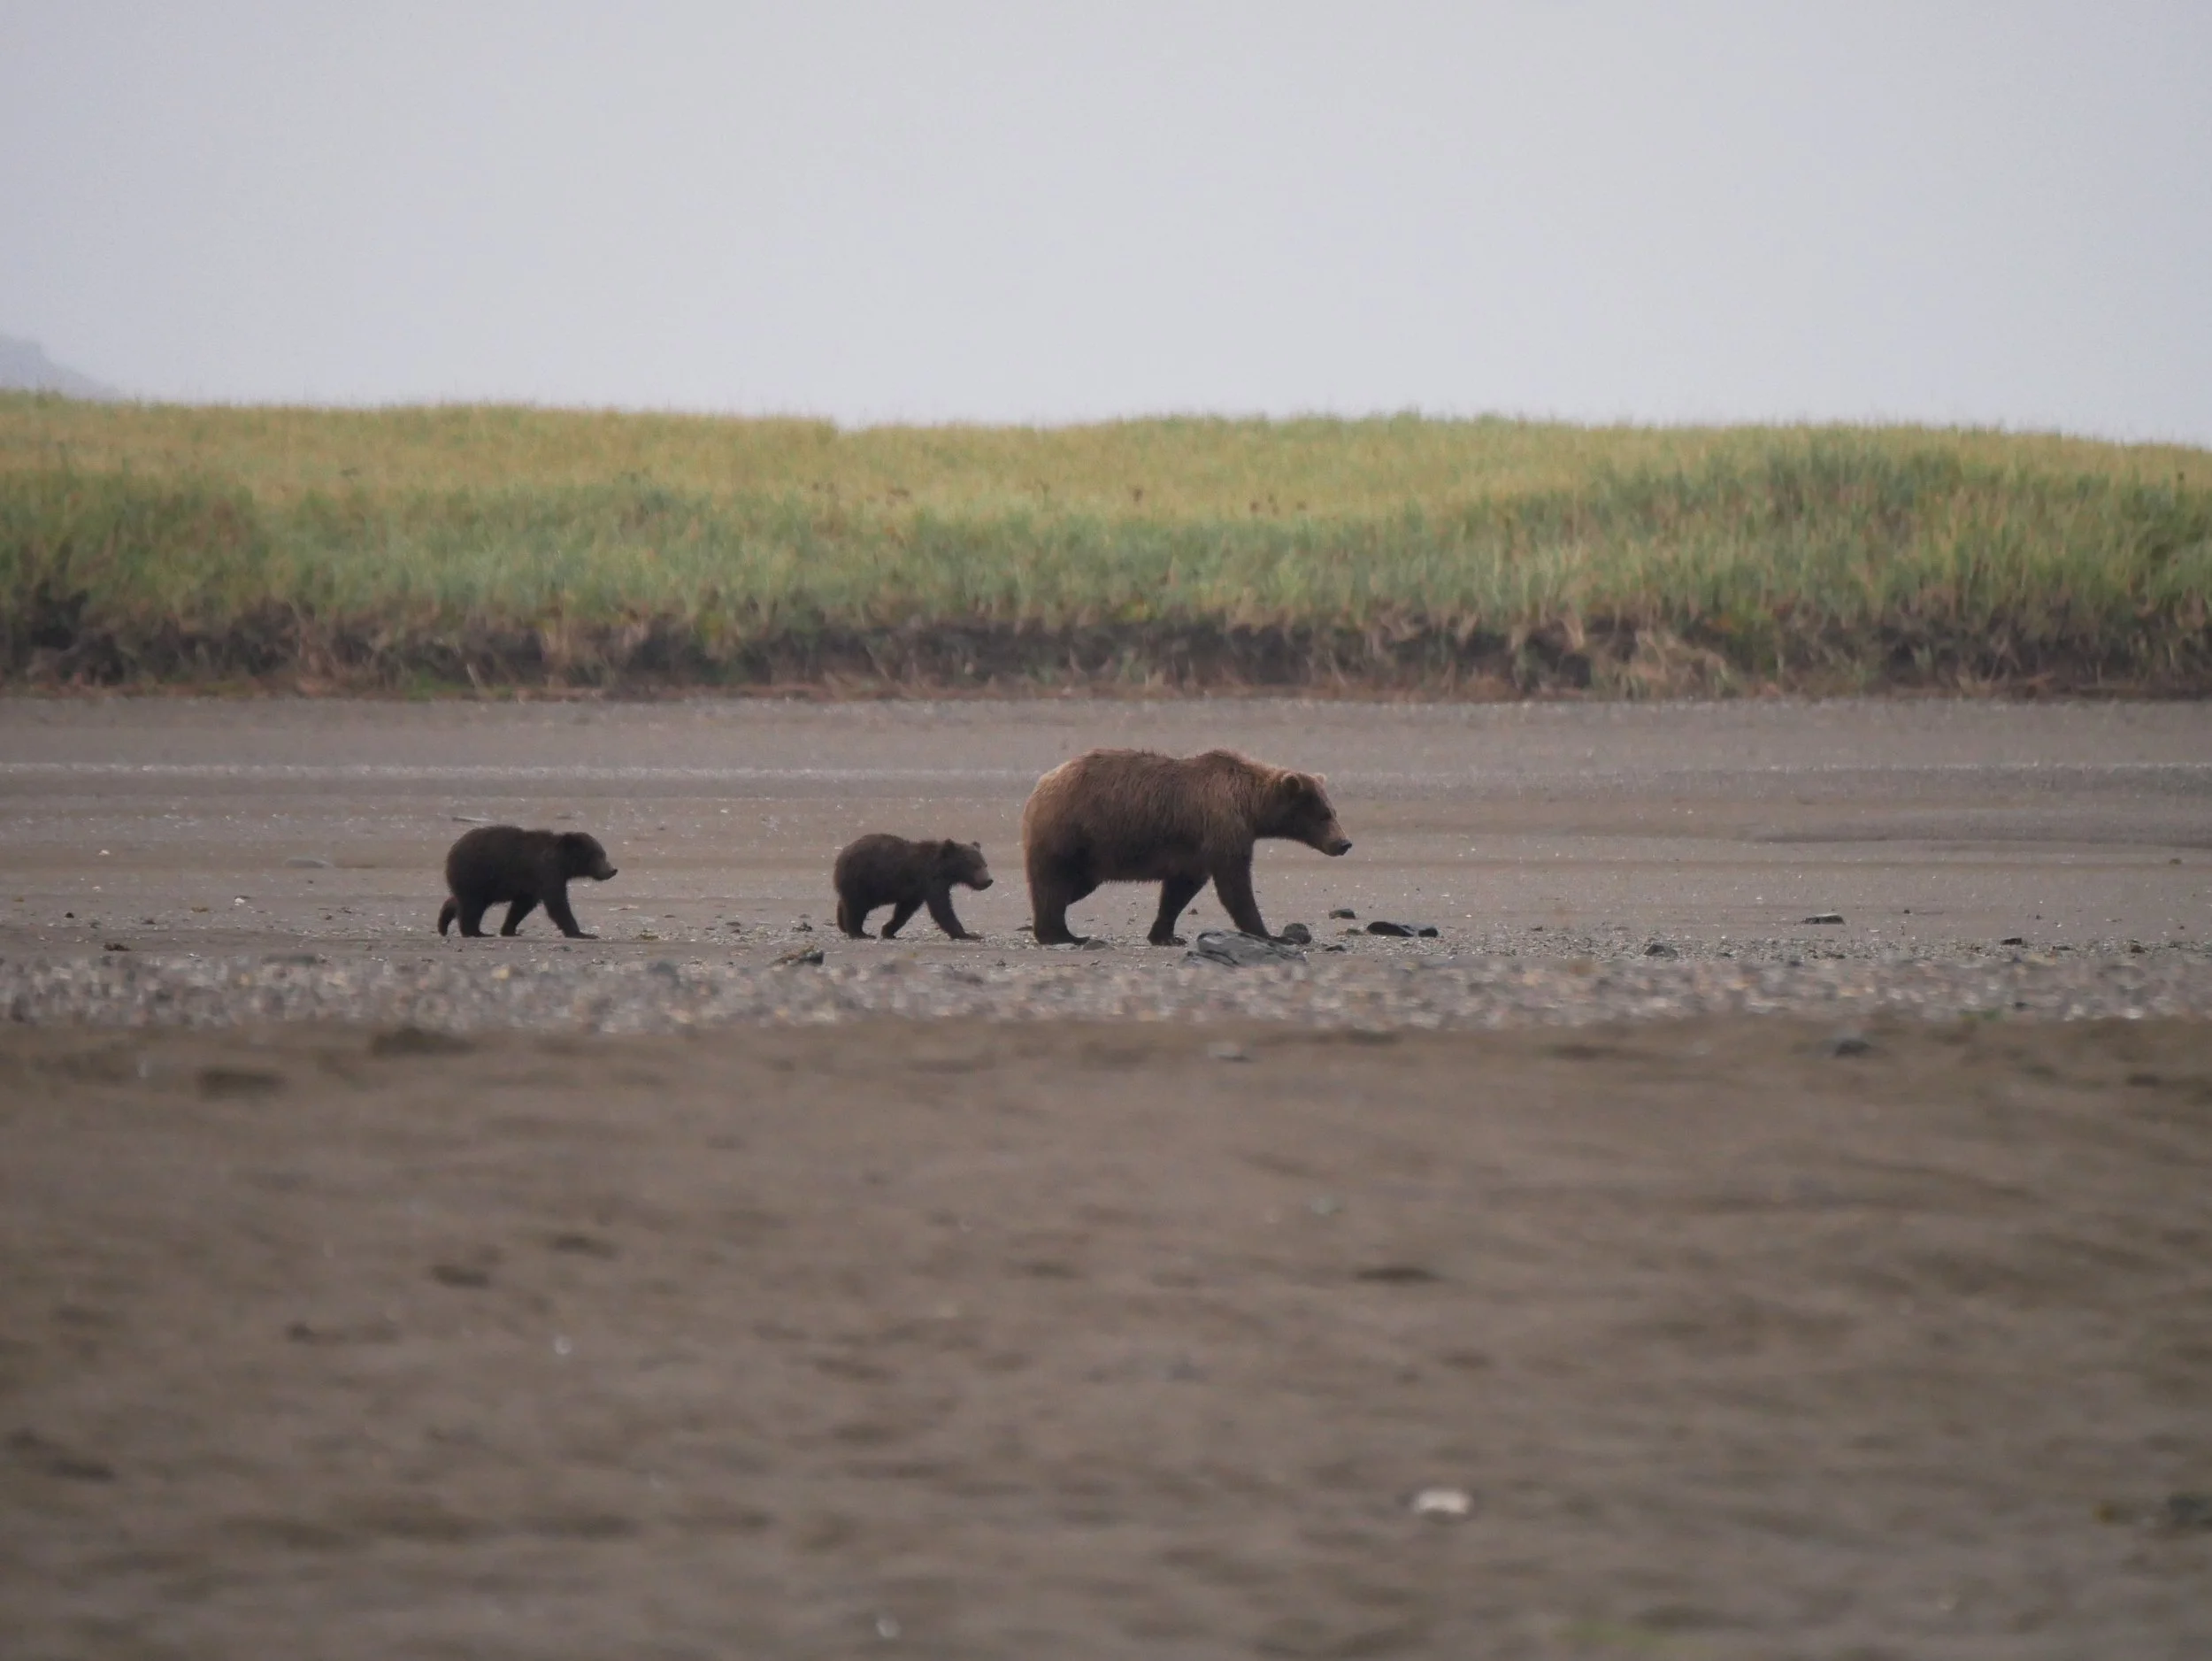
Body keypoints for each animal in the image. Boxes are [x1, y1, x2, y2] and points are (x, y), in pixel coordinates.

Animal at [436, 825, 618, 939]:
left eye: (603, 854)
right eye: (598, 856)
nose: (612, 870)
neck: (563, 862)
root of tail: (451, 852)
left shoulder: (533, 883)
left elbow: (523, 905)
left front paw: (510, 930)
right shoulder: (546, 871)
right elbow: (557, 902)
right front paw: (582, 933)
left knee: (461, 900)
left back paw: (444, 924)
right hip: (476, 874)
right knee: (472, 905)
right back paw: (475, 931)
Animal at [833, 834, 993, 940]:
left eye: (985, 864)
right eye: (974, 865)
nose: (988, 880)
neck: (943, 870)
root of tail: (841, 855)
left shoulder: (916, 891)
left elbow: (905, 910)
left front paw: (888, 931)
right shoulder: (931, 881)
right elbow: (942, 908)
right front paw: (968, 934)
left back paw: (843, 925)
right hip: (863, 879)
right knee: (856, 906)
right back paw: (859, 933)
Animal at [1019, 748, 1351, 947]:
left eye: (1333, 812)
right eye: (1324, 815)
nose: (1344, 843)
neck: (1250, 806)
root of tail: (1040, 785)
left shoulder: (1194, 851)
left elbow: (1180, 890)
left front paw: (1165, 935)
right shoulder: (1222, 827)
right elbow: (1235, 885)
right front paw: (1272, 934)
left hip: (1089, 855)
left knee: (1070, 887)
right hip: (1070, 833)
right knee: (1054, 884)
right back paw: (1060, 934)